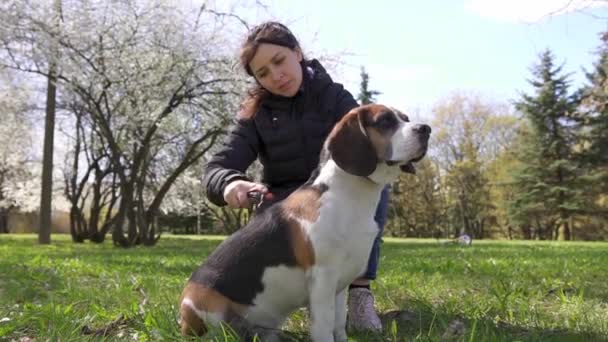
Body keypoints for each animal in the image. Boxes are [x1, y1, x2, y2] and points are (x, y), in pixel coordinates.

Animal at [178, 104, 430, 342]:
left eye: (406, 118)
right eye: (384, 121)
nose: (426, 129)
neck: (349, 194)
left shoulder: (340, 284)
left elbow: (339, 323)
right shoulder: (324, 278)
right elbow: (324, 326)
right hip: (208, 311)